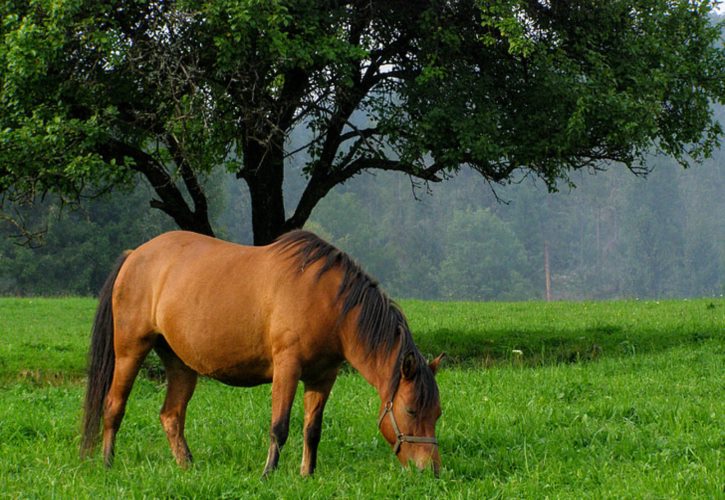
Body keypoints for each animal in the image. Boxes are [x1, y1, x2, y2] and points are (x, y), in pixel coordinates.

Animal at [79, 230, 442, 476]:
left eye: (437, 413)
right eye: (411, 410)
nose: (431, 470)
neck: (330, 302)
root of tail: (135, 255)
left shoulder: (323, 377)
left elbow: (312, 429)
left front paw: (307, 474)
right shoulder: (287, 367)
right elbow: (279, 426)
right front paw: (269, 473)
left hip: (180, 363)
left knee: (171, 416)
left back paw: (188, 466)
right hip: (130, 350)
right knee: (113, 406)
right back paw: (108, 463)